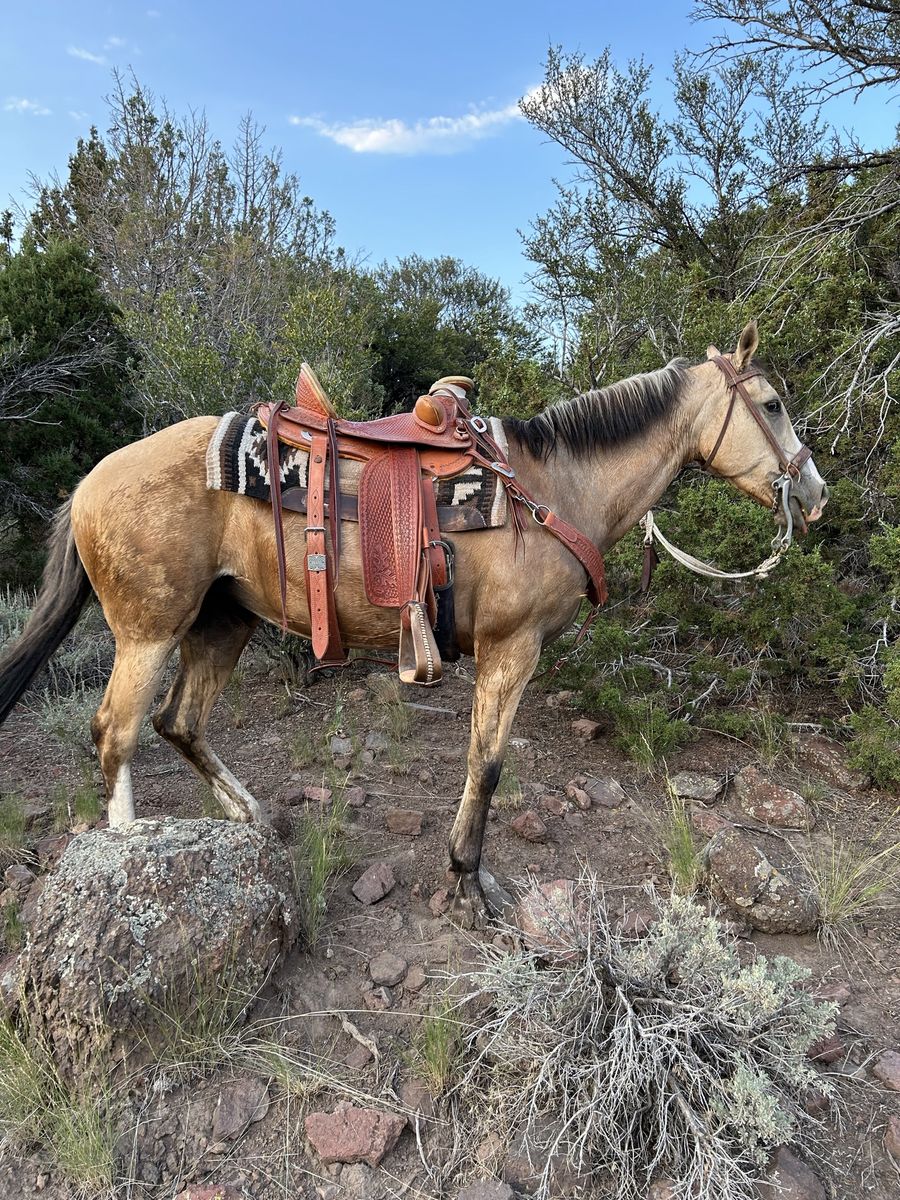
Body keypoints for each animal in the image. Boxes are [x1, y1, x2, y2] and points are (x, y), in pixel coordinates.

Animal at [0, 320, 828, 924]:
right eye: (774, 405)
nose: (815, 493)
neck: (553, 487)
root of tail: (90, 481)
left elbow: (479, 759)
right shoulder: (511, 649)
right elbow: (487, 764)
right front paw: (468, 878)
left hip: (222, 622)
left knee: (179, 721)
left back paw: (253, 817)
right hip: (149, 630)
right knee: (116, 731)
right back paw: (131, 856)